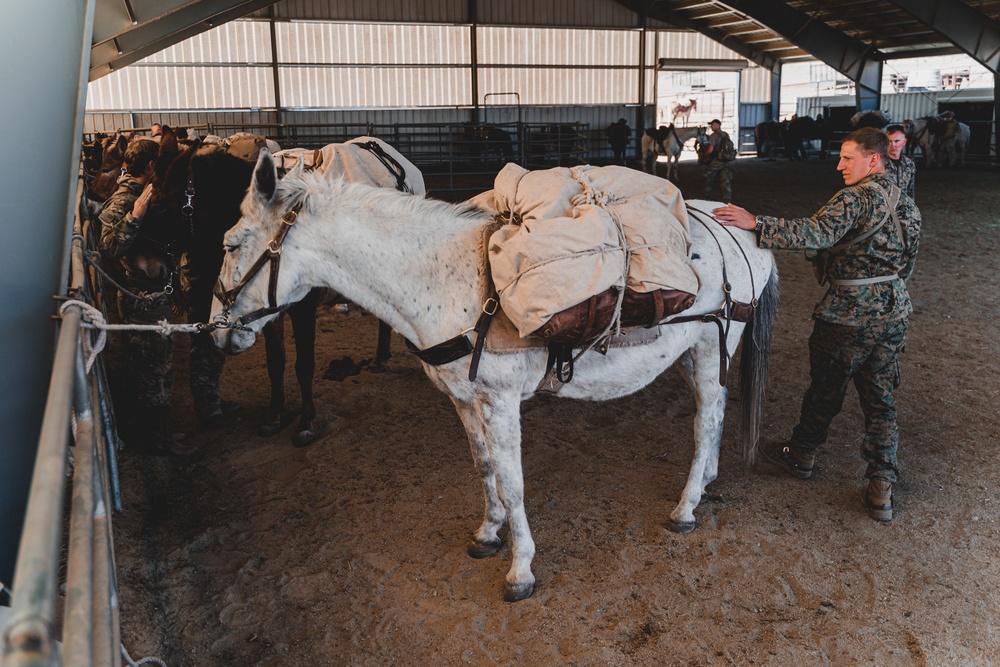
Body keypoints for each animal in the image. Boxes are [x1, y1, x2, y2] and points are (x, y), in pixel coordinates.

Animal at [211, 151, 780, 600]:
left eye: (231, 244)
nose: (217, 333)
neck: (441, 278)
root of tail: (745, 229)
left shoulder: (501, 401)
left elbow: (513, 481)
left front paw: (521, 569)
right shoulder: (463, 400)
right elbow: (485, 468)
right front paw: (488, 534)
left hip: (709, 346)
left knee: (706, 421)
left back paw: (686, 507)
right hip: (689, 352)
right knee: (715, 413)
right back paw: (705, 481)